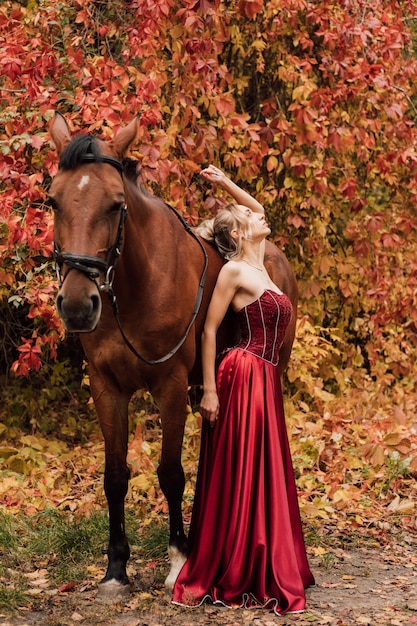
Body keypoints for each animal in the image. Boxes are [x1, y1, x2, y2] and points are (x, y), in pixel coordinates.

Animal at [47, 112, 298, 600]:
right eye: (52, 201)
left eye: (115, 204)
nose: (78, 304)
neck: (137, 285)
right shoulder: (106, 388)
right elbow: (115, 476)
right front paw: (116, 568)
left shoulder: (170, 387)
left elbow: (169, 473)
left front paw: (179, 559)